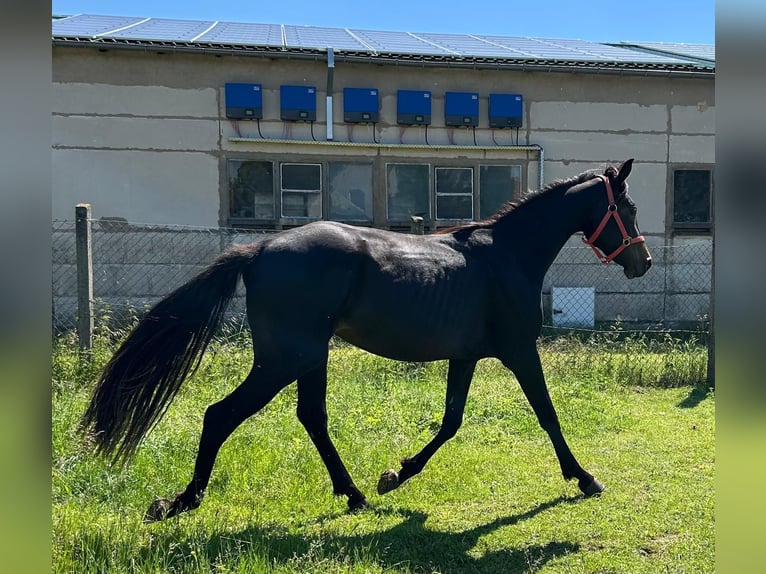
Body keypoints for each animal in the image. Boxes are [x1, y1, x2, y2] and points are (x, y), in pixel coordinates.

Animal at [81, 159, 652, 522]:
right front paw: (585, 478)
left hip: (308, 357)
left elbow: (451, 422)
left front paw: (396, 474)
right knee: (220, 415)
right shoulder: (518, 352)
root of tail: (259, 248)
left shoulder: (466, 356)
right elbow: (547, 414)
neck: (505, 254)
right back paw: (182, 501)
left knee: (311, 417)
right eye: (628, 209)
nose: (642, 262)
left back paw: (355, 494)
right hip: (284, 359)